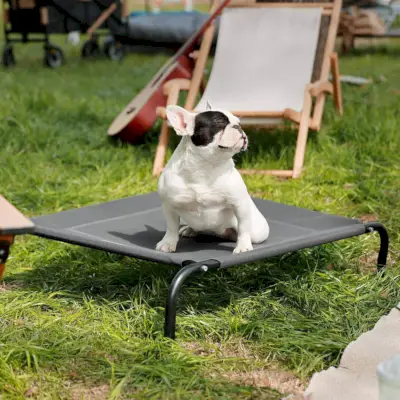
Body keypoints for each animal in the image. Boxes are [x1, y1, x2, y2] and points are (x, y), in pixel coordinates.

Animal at [155, 102, 268, 253]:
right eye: (219, 122)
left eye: (238, 122)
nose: (239, 127)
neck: (206, 166)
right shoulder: (169, 205)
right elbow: (171, 227)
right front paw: (168, 243)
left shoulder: (240, 204)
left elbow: (244, 227)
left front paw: (243, 246)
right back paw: (190, 229)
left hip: (257, 231)